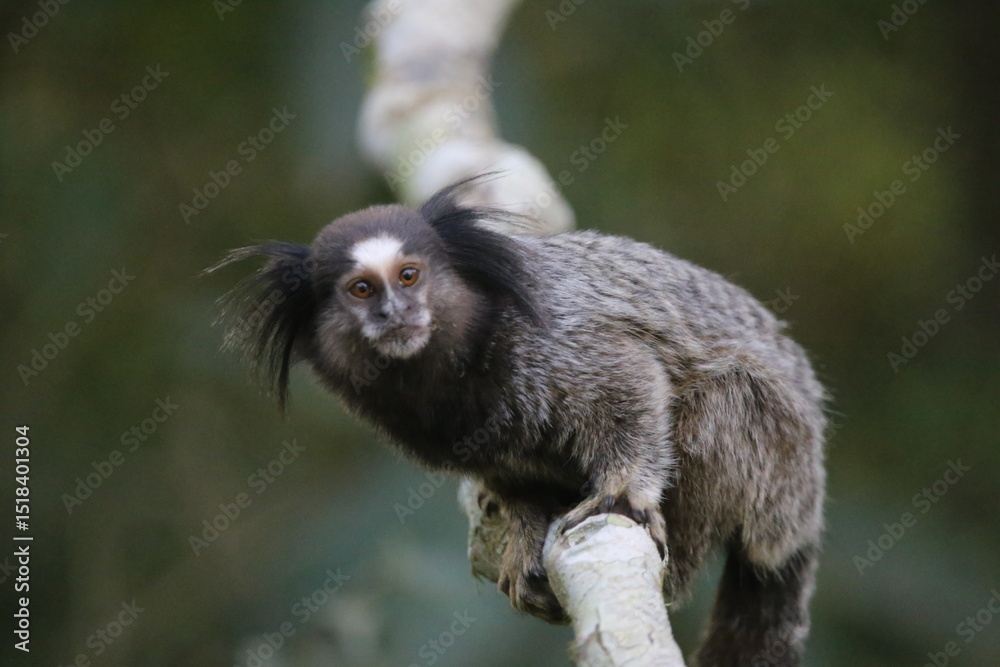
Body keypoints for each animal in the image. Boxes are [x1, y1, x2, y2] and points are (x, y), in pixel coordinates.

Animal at [209, 176, 827, 666]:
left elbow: (629, 381)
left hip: (779, 454)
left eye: (408, 277)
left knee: (720, 403)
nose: (394, 313)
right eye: (361, 290)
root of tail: (807, 504)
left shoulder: (554, 342)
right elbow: (512, 478)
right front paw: (524, 526)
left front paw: (623, 492)